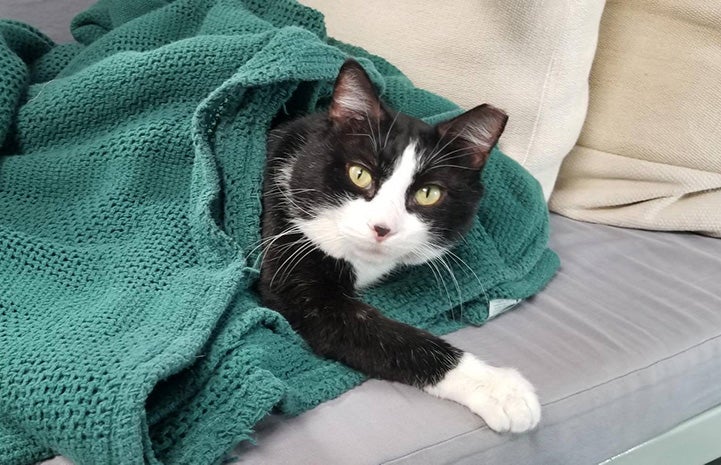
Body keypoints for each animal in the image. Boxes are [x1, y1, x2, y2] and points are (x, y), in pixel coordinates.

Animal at [258, 59, 540, 434]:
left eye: (428, 193)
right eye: (359, 174)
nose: (382, 228)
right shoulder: (292, 251)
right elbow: (385, 336)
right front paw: (500, 388)